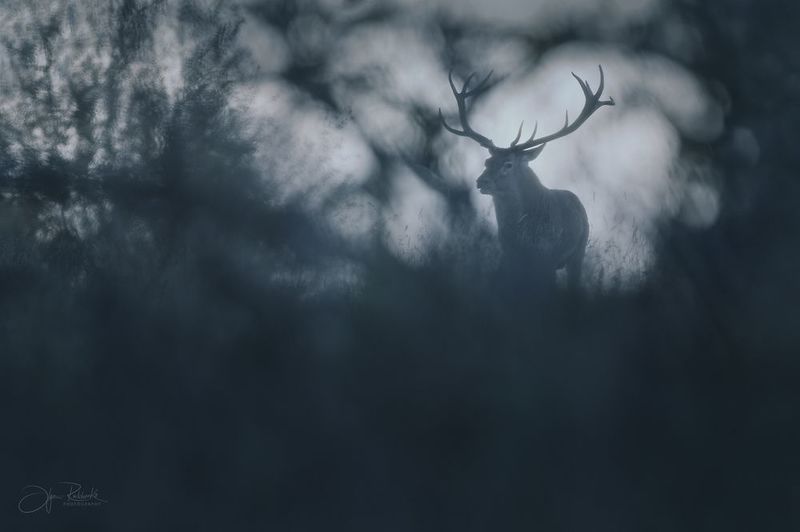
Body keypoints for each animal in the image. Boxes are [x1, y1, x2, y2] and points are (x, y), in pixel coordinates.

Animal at [439, 65, 614, 288]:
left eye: (508, 164)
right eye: (487, 162)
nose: (481, 181)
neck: (523, 237)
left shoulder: (547, 257)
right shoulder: (510, 257)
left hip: (578, 251)